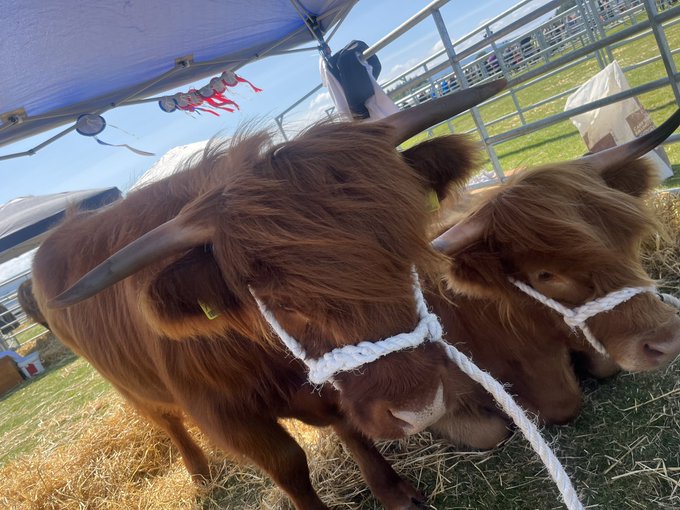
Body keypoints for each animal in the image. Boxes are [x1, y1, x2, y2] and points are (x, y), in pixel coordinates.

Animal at [30, 81, 511, 510]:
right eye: (283, 303)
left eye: (404, 254)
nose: (421, 408)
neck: (273, 362)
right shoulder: (228, 417)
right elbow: (289, 465)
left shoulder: (329, 387)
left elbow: (350, 429)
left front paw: (394, 492)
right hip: (133, 389)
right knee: (168, 423)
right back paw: (199, 475)